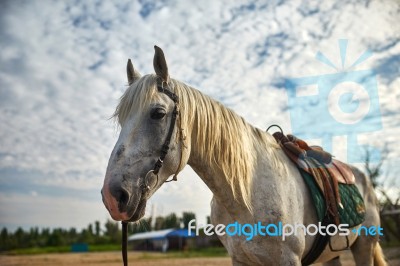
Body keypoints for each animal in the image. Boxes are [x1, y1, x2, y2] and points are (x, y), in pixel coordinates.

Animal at [101, 46, 386, 264]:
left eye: (158, 113)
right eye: (121, 120)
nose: (113, 197)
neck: (245, 195)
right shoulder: (240, 259)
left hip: (364, 247)